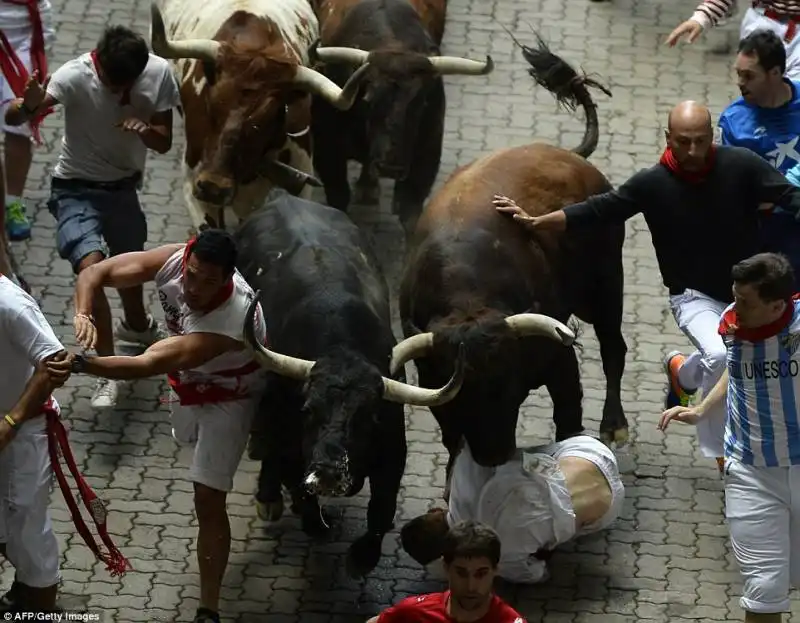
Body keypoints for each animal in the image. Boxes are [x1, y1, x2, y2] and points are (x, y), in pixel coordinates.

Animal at [234, 191, 466, 580]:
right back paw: (269, 499)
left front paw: (362, 558)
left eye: (368, 417)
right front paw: (311, 520)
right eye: (308, 410)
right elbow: (298, 489)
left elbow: (381, 510)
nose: (329, 472)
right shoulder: (289, 441)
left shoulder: (393, 452)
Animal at [306, 0, 494, 238]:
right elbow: (338, 199)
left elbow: (410, 213)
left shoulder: (426, 154)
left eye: (421, 102)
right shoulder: (327, 150)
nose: (390, 167)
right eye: (368, 99)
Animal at [390, 36, 628, 480]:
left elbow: (569, 420)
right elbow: (452, 442)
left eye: (506, 386)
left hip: (606, 286)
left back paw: (615, 425)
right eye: (463, 399)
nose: (494, 455)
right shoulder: (433, 385)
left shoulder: (560, 359)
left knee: (614, 348)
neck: (467, 295)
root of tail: (568, 155)